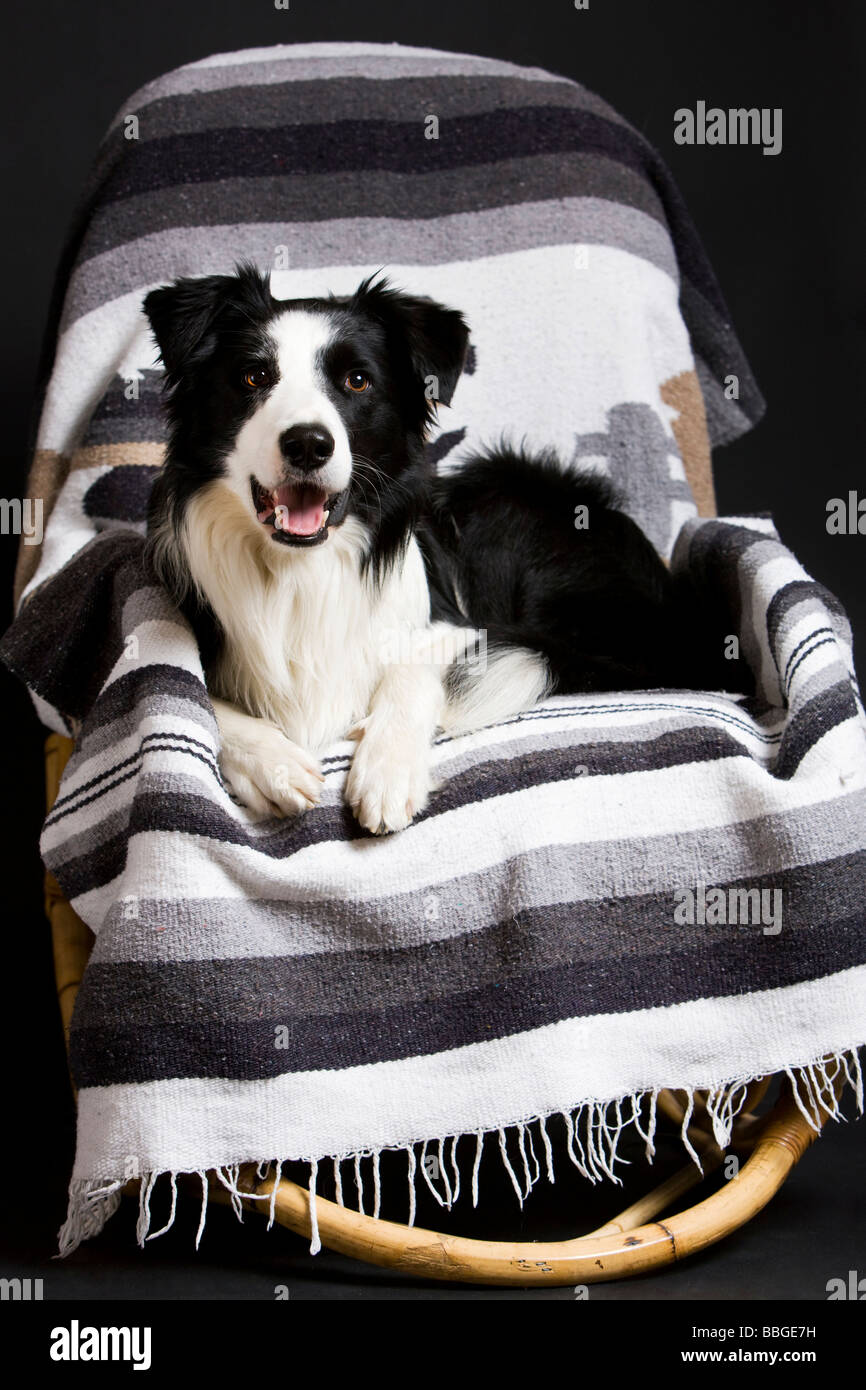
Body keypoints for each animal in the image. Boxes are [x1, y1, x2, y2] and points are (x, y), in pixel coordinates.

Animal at [143, 262, 745, 834]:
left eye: (357, 381)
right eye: (254, 376)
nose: (309, 444)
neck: (301, 568)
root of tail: (673, 613)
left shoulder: (459, 624)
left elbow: (413, 665)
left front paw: (388, 769)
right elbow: (201, 698)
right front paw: (274, 762)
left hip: (501, 494)